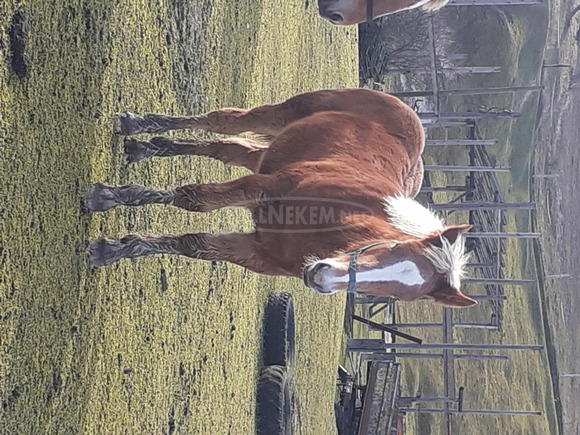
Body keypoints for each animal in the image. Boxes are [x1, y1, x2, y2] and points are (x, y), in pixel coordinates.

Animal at [87, 87, 476, 306]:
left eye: (395, 293)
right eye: (392, 247)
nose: (321, 276)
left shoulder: (256, 252)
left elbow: (193, 244)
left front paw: (117, 248)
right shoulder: (263, 187)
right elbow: (195, 199)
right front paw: (110, 197)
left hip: (266, 151)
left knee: (222, 146)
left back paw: (147, 146)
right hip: (277, 115)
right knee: (221, 122)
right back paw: (138, 126)